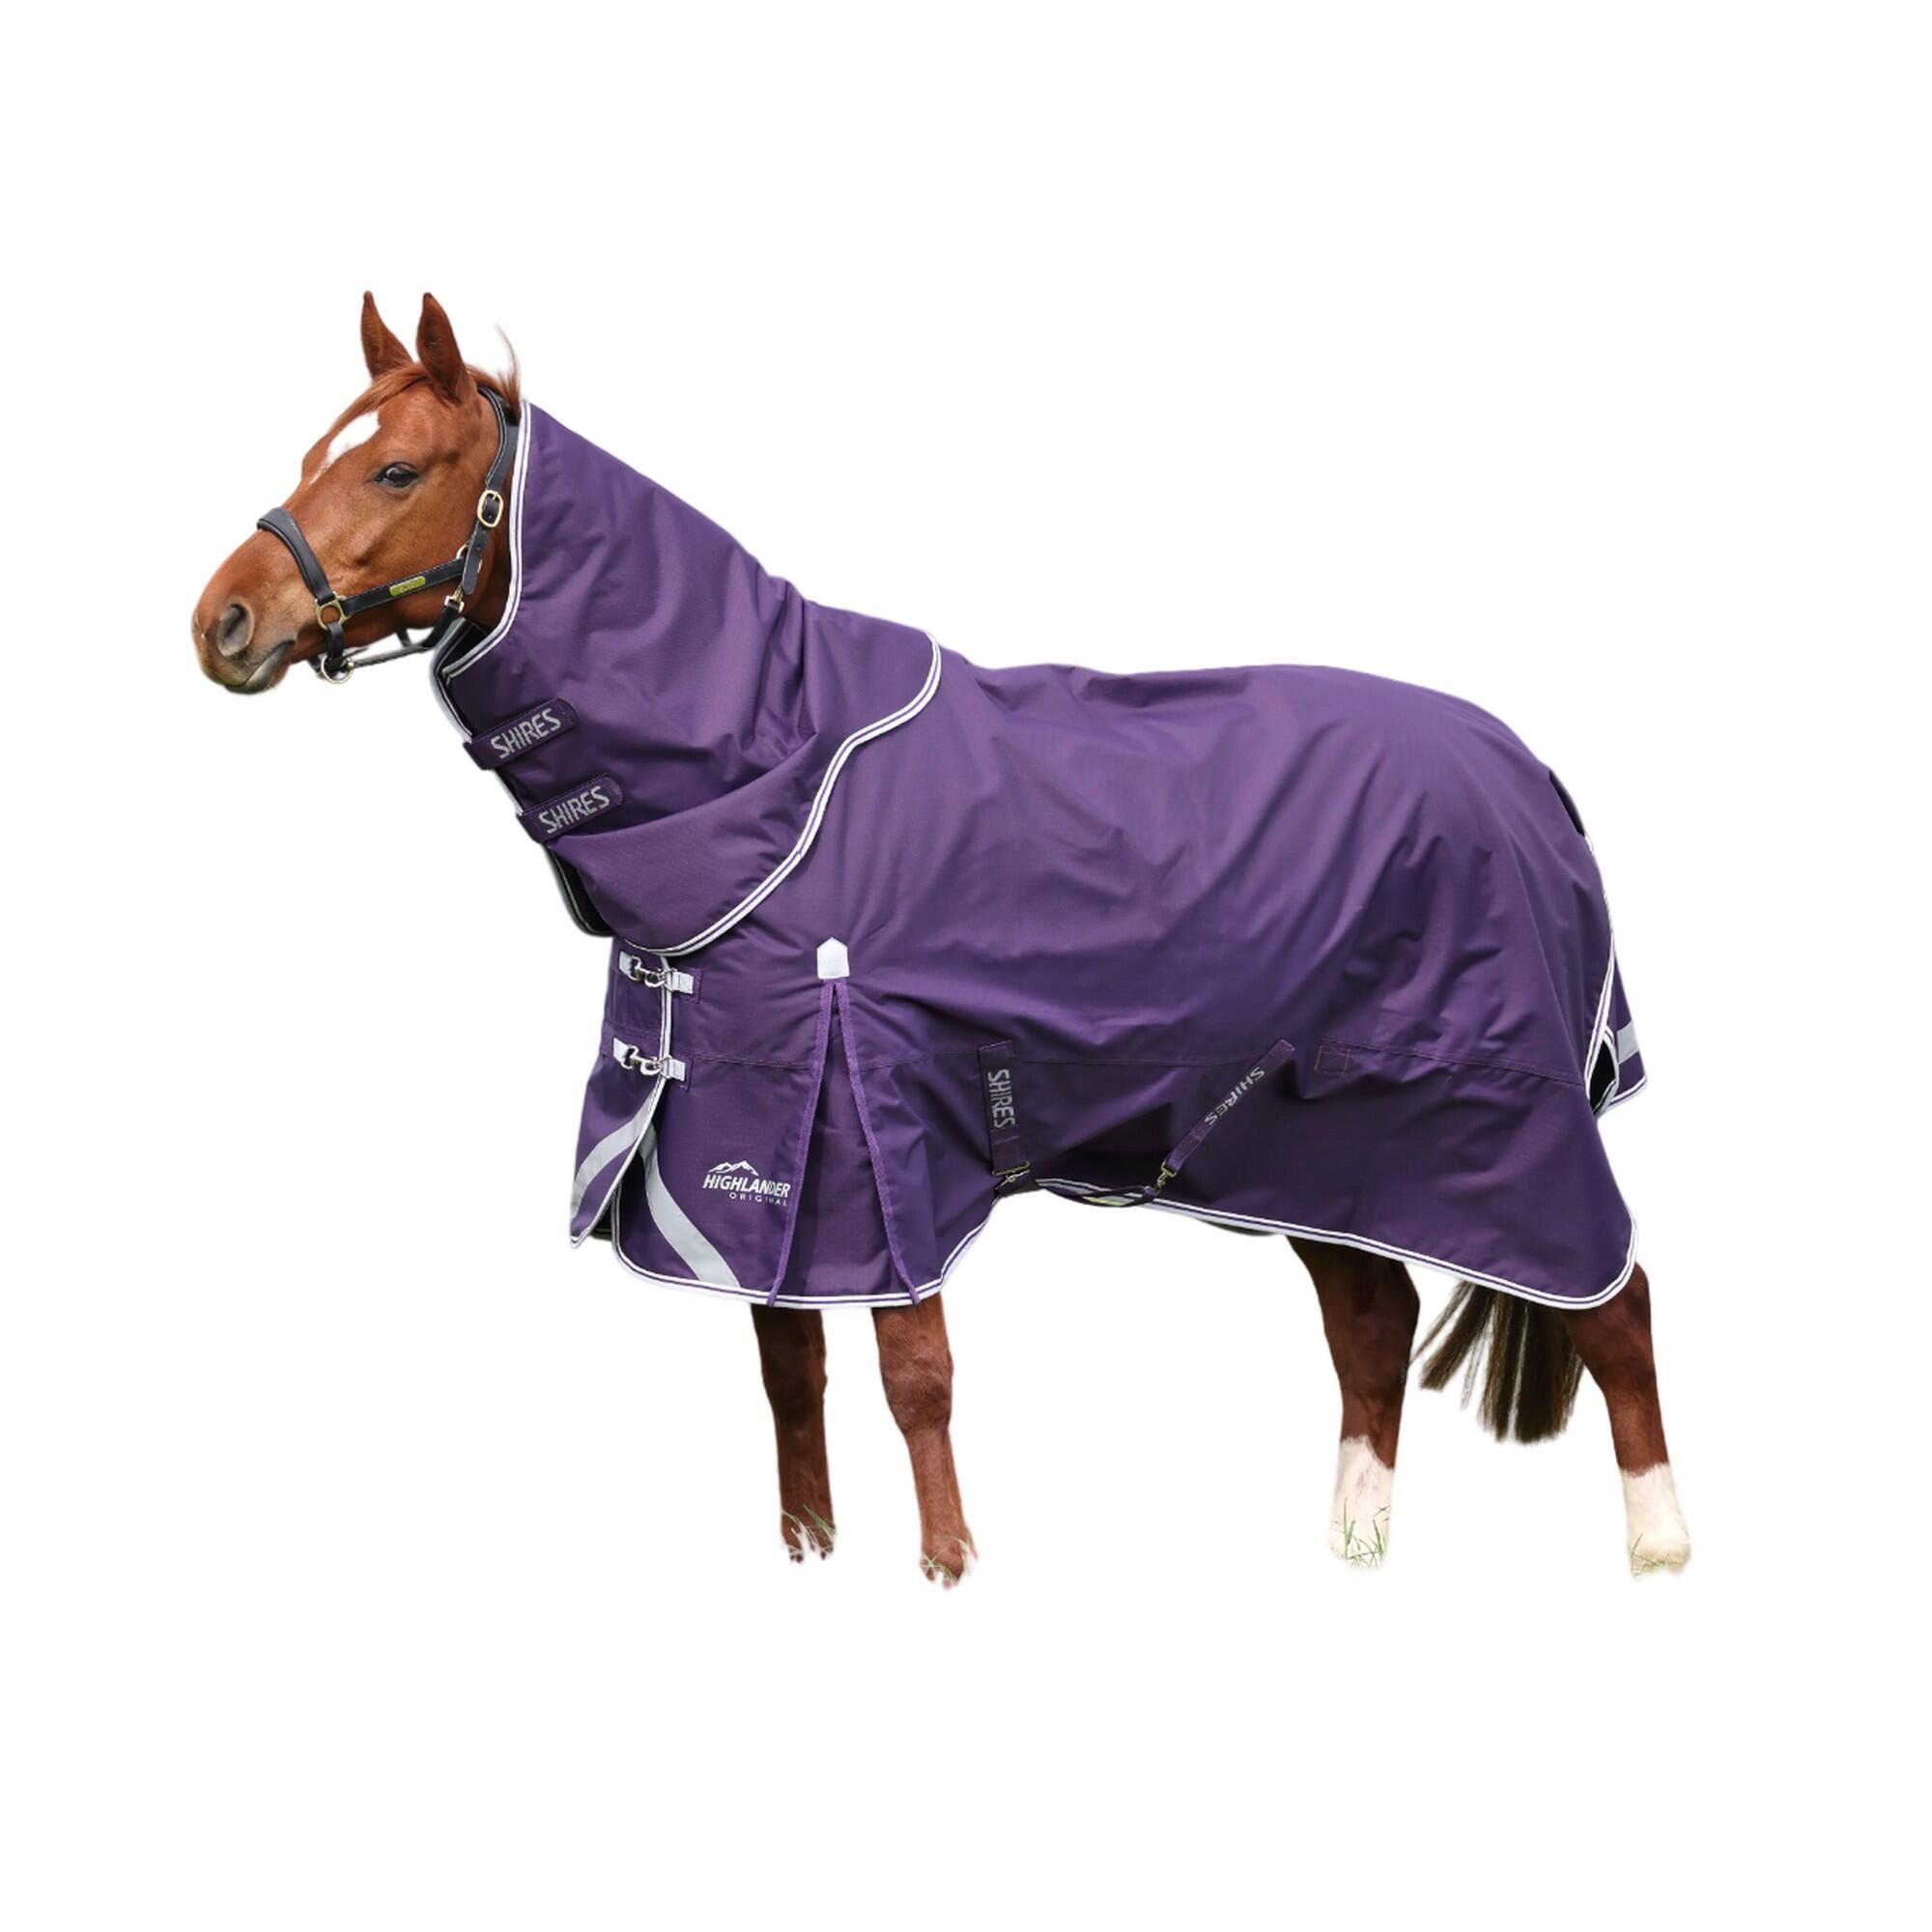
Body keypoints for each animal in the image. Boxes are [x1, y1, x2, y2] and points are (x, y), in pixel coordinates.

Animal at [191, 293, 1691, 1581]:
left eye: (397, 471)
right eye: (314, 454)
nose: (223, 622)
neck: (769, 768)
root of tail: (1529, 771)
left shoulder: (874, 1121)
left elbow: (917, 1378)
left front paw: (948, 1568)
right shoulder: (755, 1136)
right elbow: (789, 1374)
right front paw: (809, 1553)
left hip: (1496, 1113)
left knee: (1612, 1301)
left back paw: (1659, 1545)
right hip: (1309, 1139)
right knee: (1372, 1318)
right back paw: (1357, 1539)